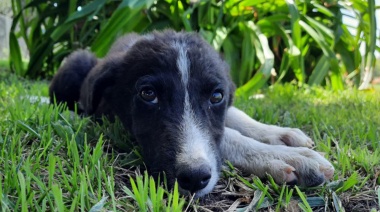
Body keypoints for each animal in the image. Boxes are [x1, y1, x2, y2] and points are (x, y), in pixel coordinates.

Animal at [49, 30, 334, 198]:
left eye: (216, 96)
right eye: (148, 94)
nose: (194, 178)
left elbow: (232, 117)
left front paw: (280, 135)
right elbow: (227, 135)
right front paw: (283, 156)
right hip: (76, 63)